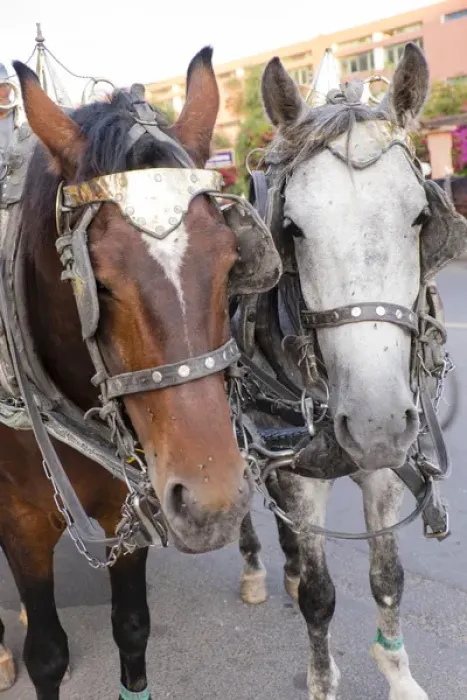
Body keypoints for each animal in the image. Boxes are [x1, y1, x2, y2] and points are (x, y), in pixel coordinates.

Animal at [0, 47, 282, 699]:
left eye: (231, 262)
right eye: (98, 284)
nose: (213, 503)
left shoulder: (127, 507)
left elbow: (132, 626)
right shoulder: (18, 523)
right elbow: (47, 655)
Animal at [234, 42, 467, 700]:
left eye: (420, 218)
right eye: (290, 228)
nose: (375, 424)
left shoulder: (383, 470)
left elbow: (388, 578)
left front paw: (399, 673)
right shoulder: (296, 474)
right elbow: (320, 597)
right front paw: (321, 679)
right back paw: (258, 568)